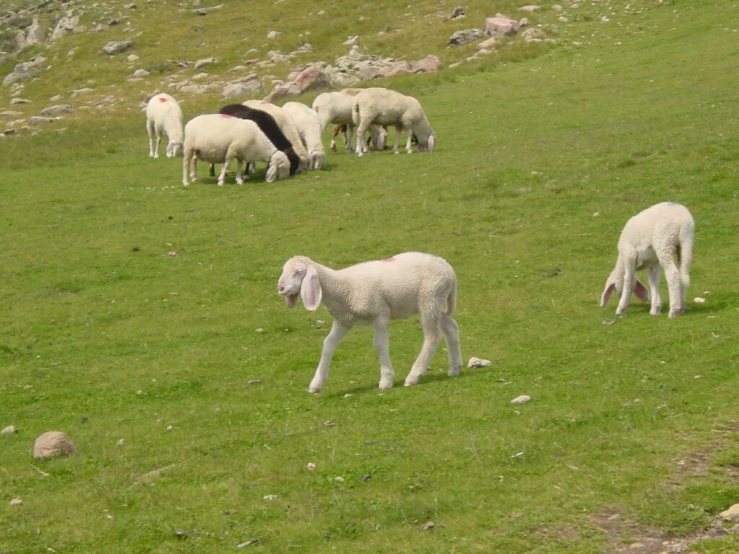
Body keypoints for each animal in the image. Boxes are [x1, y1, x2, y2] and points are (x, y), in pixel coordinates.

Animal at [278, 252, 462, 390]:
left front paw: (386, 380)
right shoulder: (344, 321)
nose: (281, 288)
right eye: (284, 270)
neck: (340, 288)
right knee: (451, 327)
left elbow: (379, 345)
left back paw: (414, 375)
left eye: (298, 272)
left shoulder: (380, 313)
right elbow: (328, 344)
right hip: (437, 302)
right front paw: (316, 384)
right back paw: (455, 368)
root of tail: (449, 270)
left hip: (429, 298)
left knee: (432, 336)